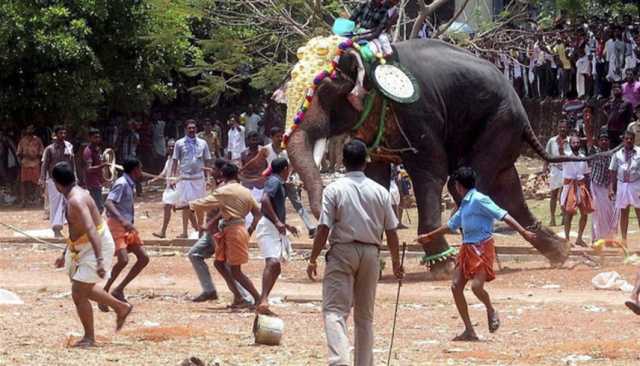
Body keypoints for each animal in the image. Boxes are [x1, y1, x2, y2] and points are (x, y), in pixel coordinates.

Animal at [288, 39, 584, 274]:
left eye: (326, 89)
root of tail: (525, 117)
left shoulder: (418, 112)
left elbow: (431, 170)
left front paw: (443, 266)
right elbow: (375, 174)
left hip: (500, 123)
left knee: (466, 184)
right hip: (502, 132)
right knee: (507, 191)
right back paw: (561, 254)